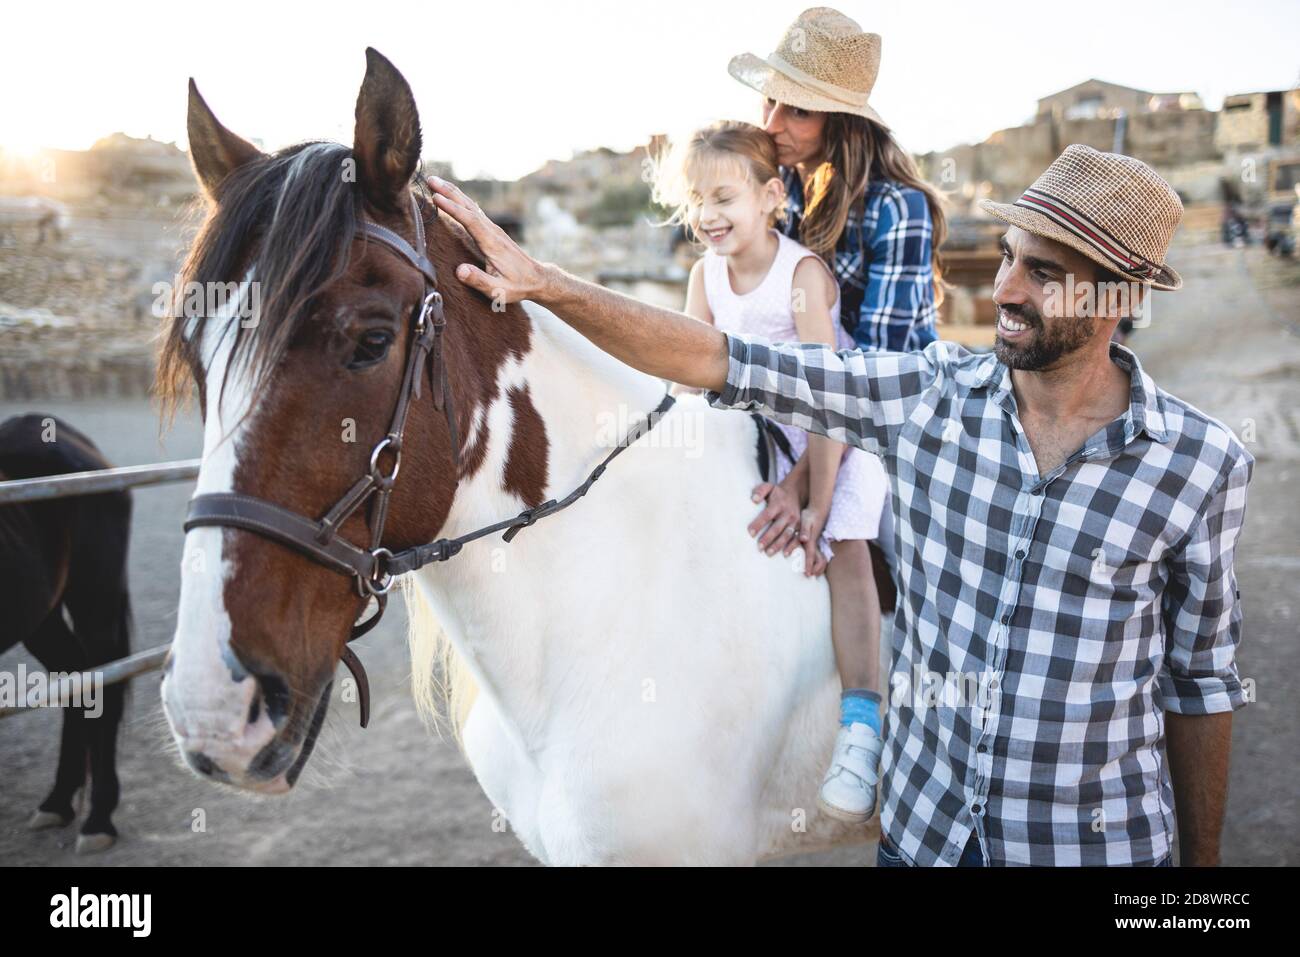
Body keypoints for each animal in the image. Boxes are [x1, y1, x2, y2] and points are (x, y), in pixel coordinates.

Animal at [0, 410, 130, 852]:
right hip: (41, 615)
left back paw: (99, 819)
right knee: (76, 680)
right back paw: (57, 801)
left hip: (94, 601)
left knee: (103, 686)